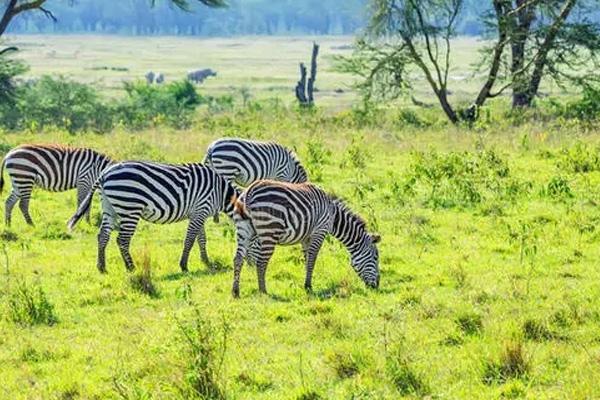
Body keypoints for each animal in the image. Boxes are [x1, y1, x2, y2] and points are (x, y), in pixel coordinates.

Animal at [66, 161, 239, 274]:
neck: (221, 192)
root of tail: (104, 173)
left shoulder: (198, 212)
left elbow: (201, 239)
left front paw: (206, 261)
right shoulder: (201, 209)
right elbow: (190, 239)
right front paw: (184, 266)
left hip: (109, 207)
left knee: (102, 236)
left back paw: (101, 267)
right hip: (130, 208)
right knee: (122, 240)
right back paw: (131, 267)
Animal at [230, 180, 380, 296]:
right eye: (375, 258)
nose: (377, 285)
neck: (332, 216)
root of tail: (249, 191)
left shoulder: (305, 237)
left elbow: (307, 258)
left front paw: (306, 284)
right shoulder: (319, 231)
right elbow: (312, 259)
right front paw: (308, 286)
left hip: (244, 229)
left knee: (238, 258)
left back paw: (235, 292)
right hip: (269, 230)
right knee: (261, 262)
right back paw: (263, 291)